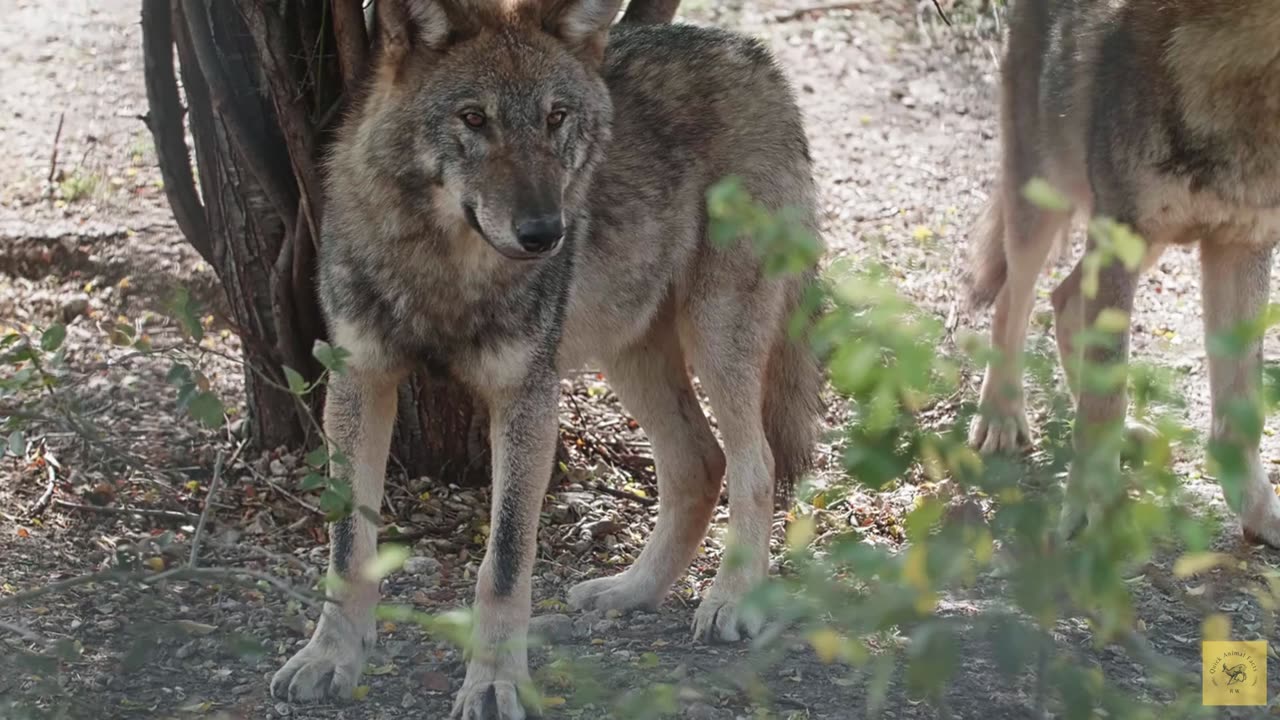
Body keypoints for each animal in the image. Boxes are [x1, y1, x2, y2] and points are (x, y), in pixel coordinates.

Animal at [273, 1, 824, 717]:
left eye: (556, 117)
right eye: (473, 118)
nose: (546, 233)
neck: (445, 270)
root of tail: (754, 54)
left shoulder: (526, 397)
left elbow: (505, 563)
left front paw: (495, 683)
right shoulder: (359, 382)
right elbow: (346, 547)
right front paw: (330, 657)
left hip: (714, 333)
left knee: (754, 464)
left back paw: (731, 602)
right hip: (629, 350)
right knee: (699, 463)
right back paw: (630, 591)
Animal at [962, 0, 1280, 540]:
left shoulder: (1242, 244)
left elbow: (1242, 408)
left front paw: (1258, 513)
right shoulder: (1121, 238)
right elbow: (1103, 400)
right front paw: (1093, 511)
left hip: (1140, 244)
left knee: (1065, 299)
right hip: (1045, 204)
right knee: (1013, 300)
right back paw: (1001, 419)